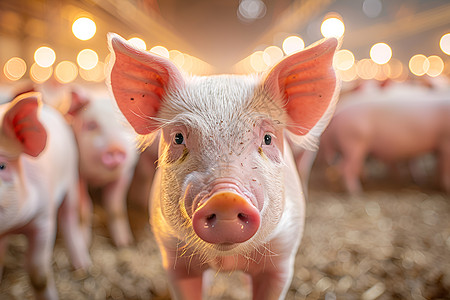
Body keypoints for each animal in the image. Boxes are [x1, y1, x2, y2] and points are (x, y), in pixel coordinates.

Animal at [0, 92, 91, 298]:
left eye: (2, 166)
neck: (16, 226)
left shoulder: (44, 219)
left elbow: (38, 274)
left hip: (71, 177)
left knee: (69, 217)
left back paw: (82, 267)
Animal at [105, 33, 338, 300]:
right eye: (178, 138)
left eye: (268, 138)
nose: (226, 197)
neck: (226, 261)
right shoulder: (173, 257)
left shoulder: (282, 257)